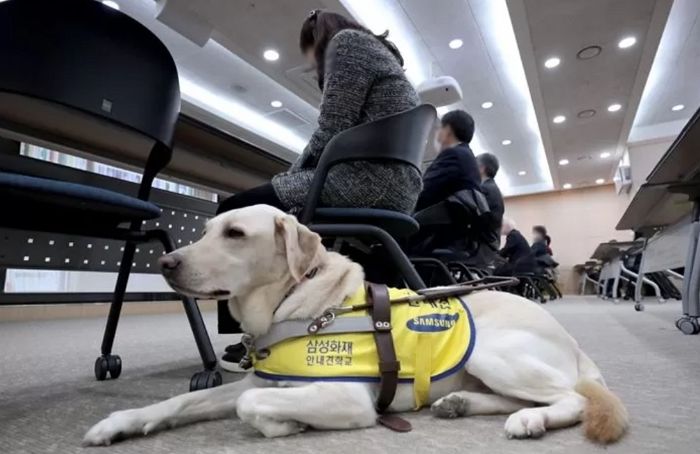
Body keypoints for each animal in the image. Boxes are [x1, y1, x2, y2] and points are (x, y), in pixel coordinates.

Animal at [83, 204, 628, 446]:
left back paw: (532, 421)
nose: (166, 262)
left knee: (573, 399)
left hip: (493, 352)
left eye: (235, 234)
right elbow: (181, 401)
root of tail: (575, 344)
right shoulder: (262, 380)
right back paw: (459, 404)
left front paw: (285, 424)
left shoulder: (344, 397)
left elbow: (245, 404)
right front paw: (118, 422)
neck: (293, 305)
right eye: (206, 231)